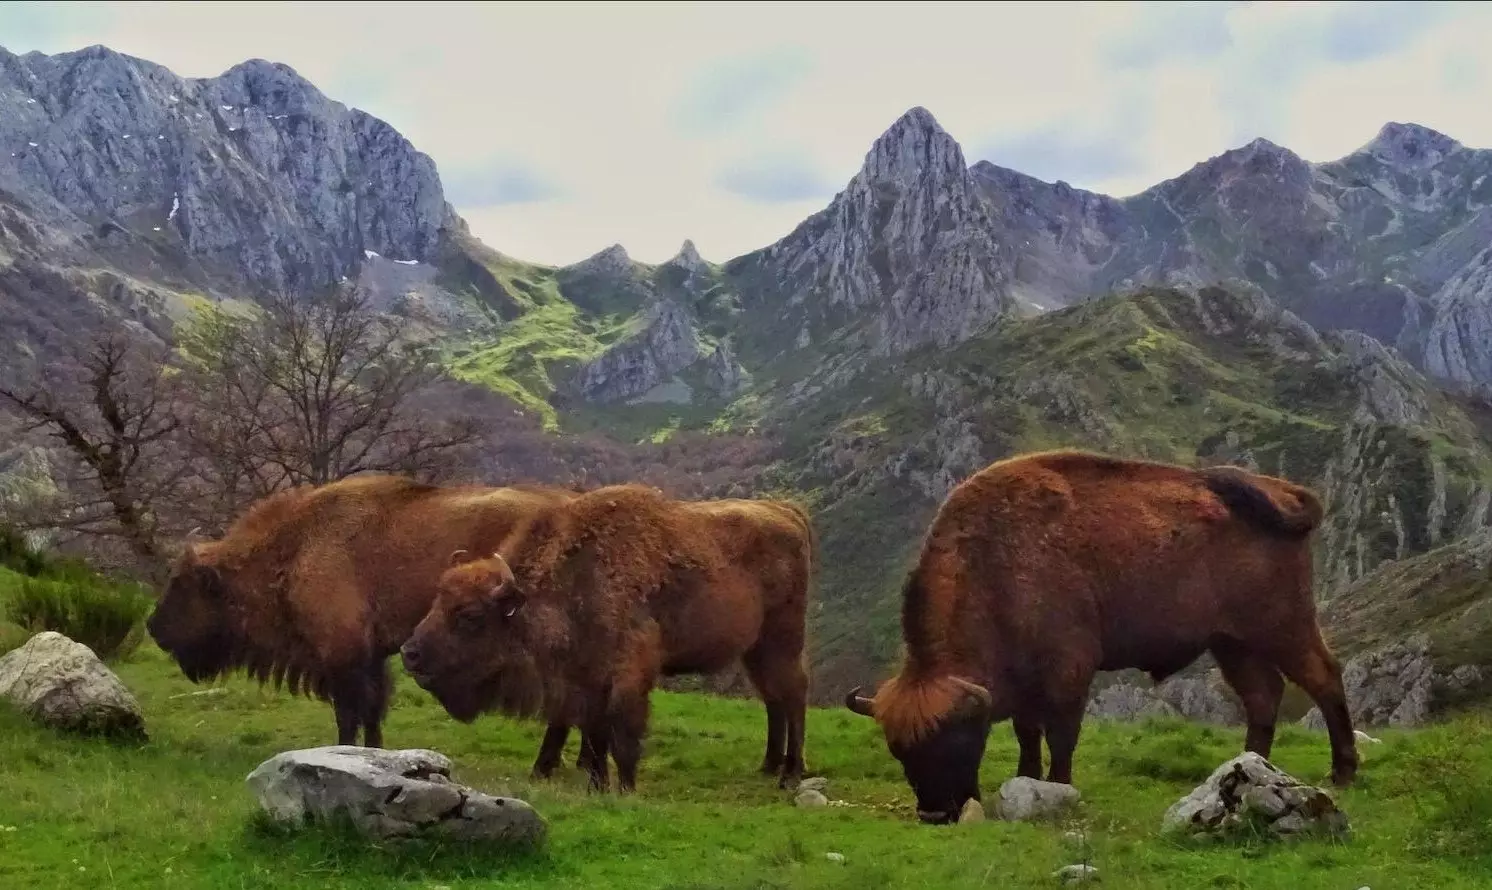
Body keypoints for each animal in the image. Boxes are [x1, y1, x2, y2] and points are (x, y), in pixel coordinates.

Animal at [145, 474, 572, 745]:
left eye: (180, 584)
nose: (153, 627)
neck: (296, 547)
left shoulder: (343, 655)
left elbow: (349, 714)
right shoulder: (371, 656)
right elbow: (372, 711)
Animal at [402, 485, 811, 793]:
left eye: (470, 616)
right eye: (438, 599)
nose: (410, 653)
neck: (579, 578)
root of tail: (787, 511)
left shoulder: (628, 676)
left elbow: (623, 733)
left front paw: (626, 788)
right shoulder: (587, 681)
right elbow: (597, 734)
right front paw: (597, 786)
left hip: (782, 640)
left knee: (793, 695)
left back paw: (790, 774)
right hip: (756, 650)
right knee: (773, 698)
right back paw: (768, 766)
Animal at [847, 447, 1360, 822]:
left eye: (956, 741)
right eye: (899, 750)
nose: (936, 815)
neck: (996, 563)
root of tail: (1287, 494)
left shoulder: (1068, 671)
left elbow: (1060, 735)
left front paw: (1058, 787)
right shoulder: (1023, 685)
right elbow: (1027, 734)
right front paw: (1025, 780)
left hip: (1283, 628)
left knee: (1325, 678)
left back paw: (1343, 773)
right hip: (1233, 644)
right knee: (1263, 696)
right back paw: (1248, 768)